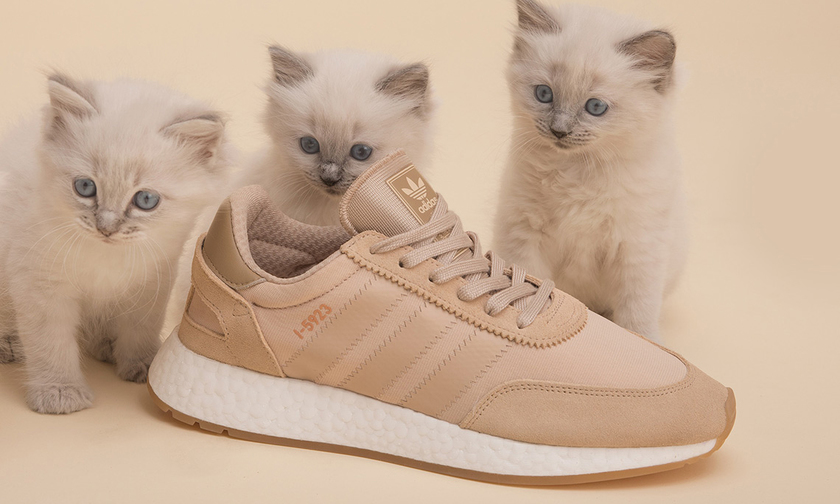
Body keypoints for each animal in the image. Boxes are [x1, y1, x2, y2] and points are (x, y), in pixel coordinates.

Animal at [0, 74, 233, 414]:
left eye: (146, 200)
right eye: (85, 187)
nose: (106, 227)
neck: (106, 260)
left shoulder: (151, 281)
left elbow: (141, 329)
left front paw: (144, 366)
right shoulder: (41, 288)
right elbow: (51, 345)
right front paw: (60, 393)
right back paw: (9, 344)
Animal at [494, 0, 687, 341]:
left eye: (596, 107)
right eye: (544, 94)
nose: (559, 131)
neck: (579, 170)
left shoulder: (638, 251)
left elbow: (637, 315)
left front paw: (646, 343)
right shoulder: (523, 232)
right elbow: (527, 283)